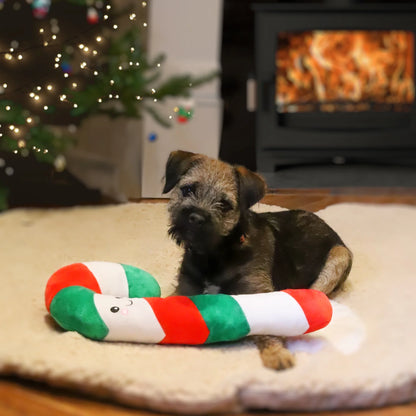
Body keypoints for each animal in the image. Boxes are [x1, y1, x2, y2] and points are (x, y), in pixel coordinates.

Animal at [161, 150, 352, 370]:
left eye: (224, 204)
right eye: (188, 189)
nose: (196, 217)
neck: (216, 253)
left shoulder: (258, 292)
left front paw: (276, 353)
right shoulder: (185, 287)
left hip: (339, 256)